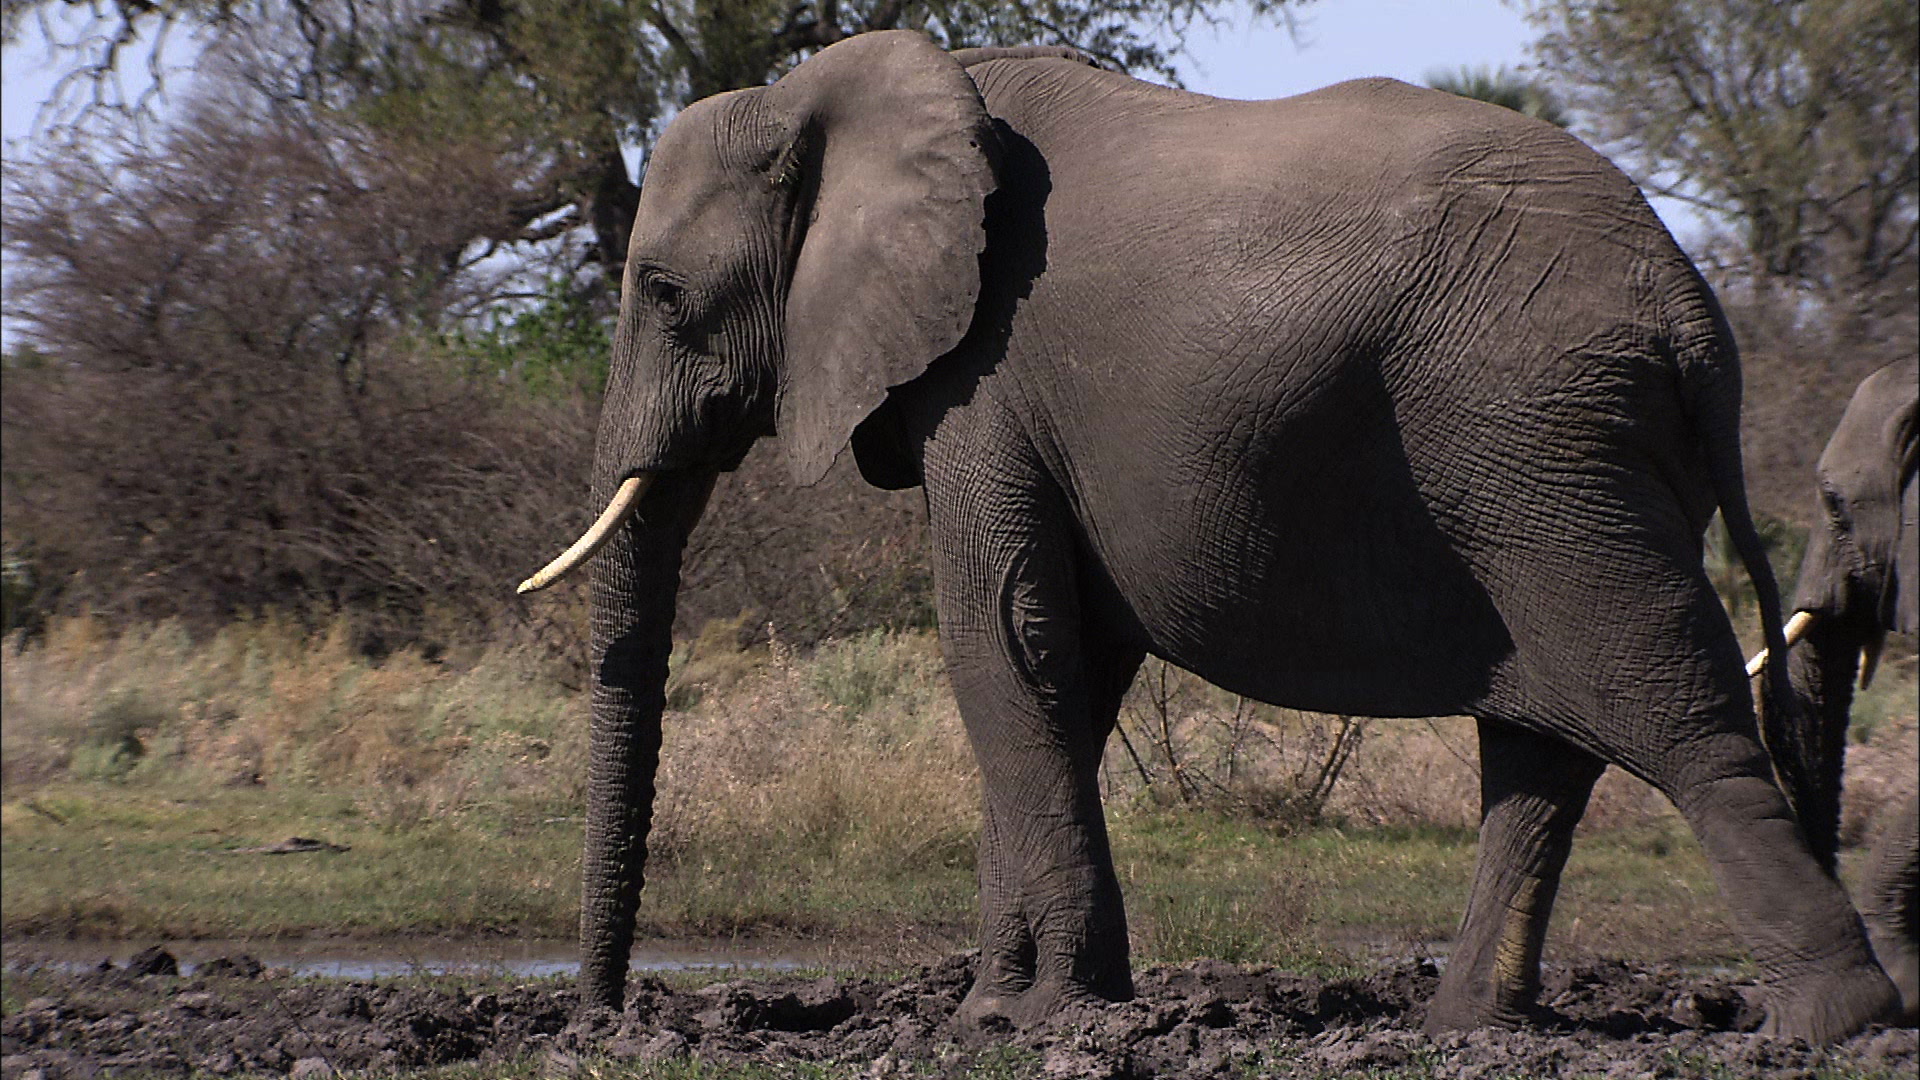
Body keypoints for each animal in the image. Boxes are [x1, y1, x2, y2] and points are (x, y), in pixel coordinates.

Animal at [517, 32, 1899, 1042]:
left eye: (663, 294)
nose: (607, 1024)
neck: (827, 93)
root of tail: (1696, 317)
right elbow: (1070, 662)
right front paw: (1004, 1011)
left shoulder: (987, 375)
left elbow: (1003, 637)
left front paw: (1036, 1020)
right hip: (1547, 460)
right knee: (1544, 744)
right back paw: (1465, 1029)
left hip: (1537, 434)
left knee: (1667, 709)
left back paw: (1833, 1024)